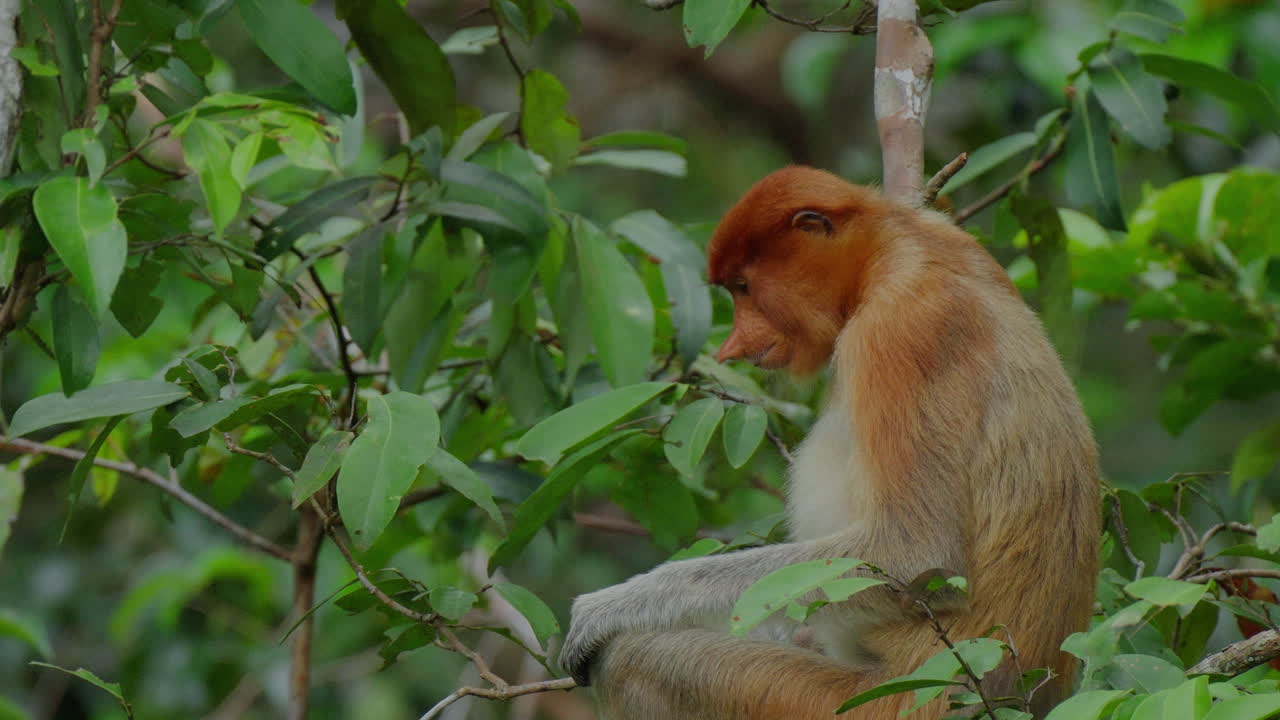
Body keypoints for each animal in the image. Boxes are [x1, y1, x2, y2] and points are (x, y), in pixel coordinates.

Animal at [559, 166, 1100, 720]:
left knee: (634, 661)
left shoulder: (899, 333)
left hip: (853, 704)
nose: (733, 347)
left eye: (744, 287)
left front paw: (606, 609)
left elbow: (917, 554)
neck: (897, 249)